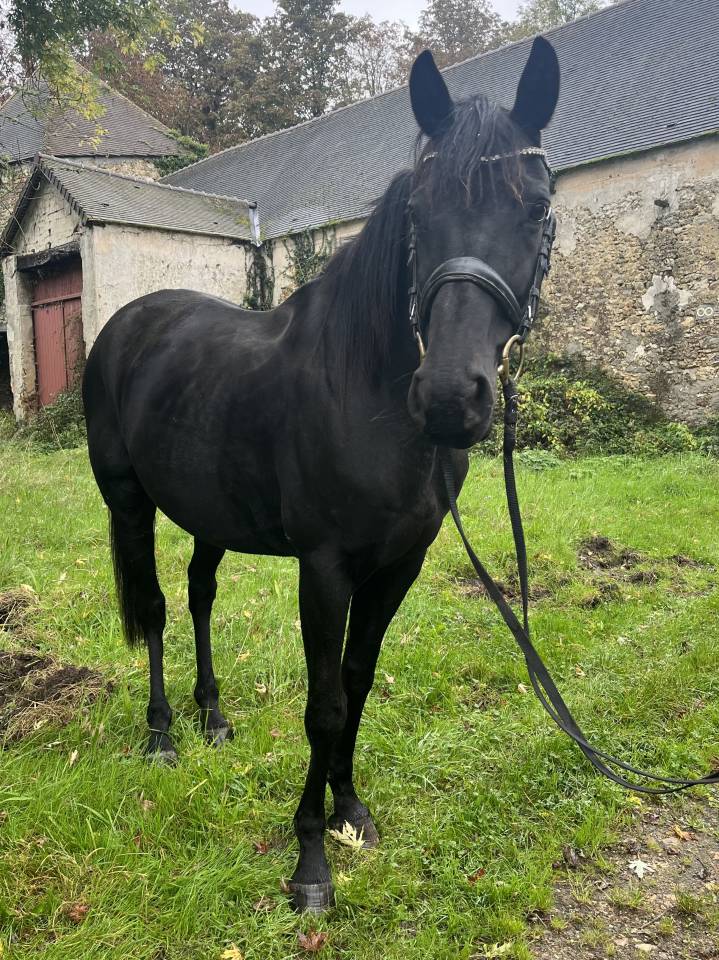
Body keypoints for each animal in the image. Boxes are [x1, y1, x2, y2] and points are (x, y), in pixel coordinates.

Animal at [83, 38, 560, 912]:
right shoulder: (326, 568)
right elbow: (325, 704)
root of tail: (128, 323)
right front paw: (310, 859)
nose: (451, 398)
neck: (368, 393)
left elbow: (359, 681)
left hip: (209, 512)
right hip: (130, 502)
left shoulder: (397, 566)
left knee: (200, 594)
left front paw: (350, 811)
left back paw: (213, 718)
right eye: (416, 214)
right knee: (159, 607)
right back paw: (162, 734)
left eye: (537, 210)